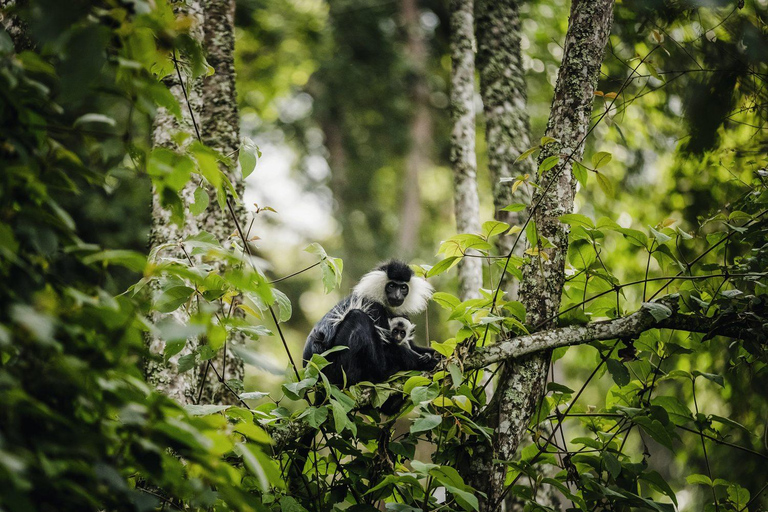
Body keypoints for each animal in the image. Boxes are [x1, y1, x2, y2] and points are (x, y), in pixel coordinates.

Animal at [304, 260, 440, 384]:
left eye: (403, 287)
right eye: (391, 286)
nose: (397, 296)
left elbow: (410, 344)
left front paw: (435, 353)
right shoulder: (375, 308)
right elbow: (388, 347)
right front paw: (428, 361)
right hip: (334, 367)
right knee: (358, 317)